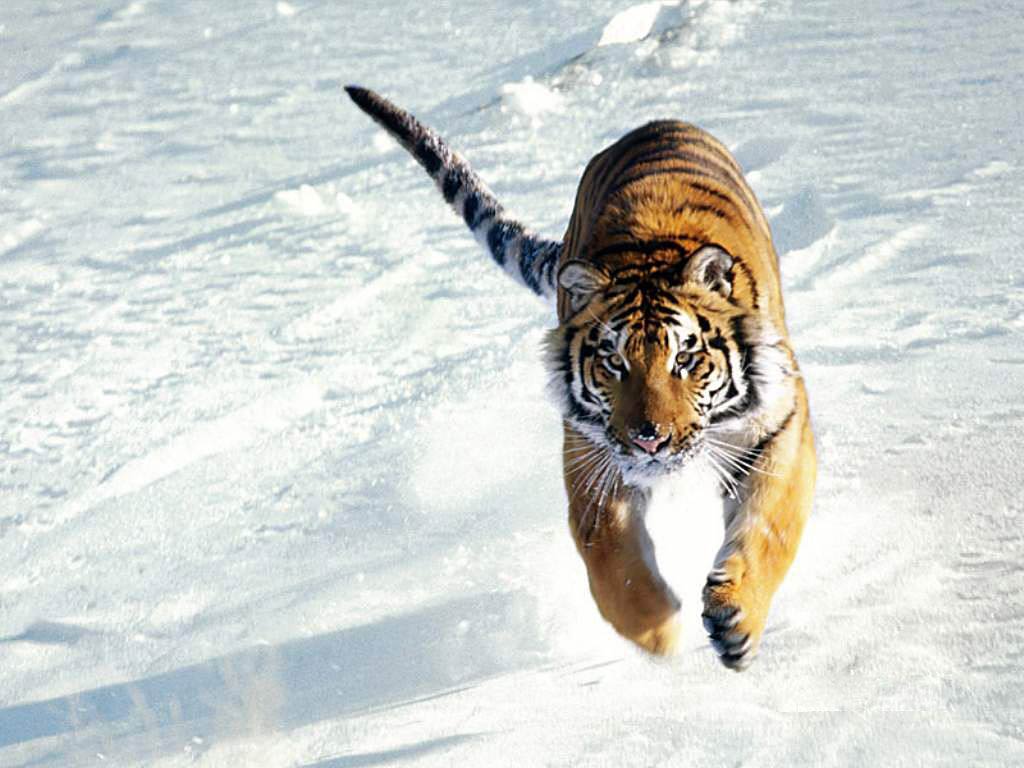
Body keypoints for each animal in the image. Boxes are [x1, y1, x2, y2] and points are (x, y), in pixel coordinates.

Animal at [346, 85, 816, 671]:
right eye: (614, 362)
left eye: (685, 359)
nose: (650, 439)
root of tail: (654, 123)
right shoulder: (591, 454)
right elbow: (612, 560)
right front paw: (658, 632)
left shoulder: (779, 426)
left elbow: (770, 527)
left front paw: (736, 621)